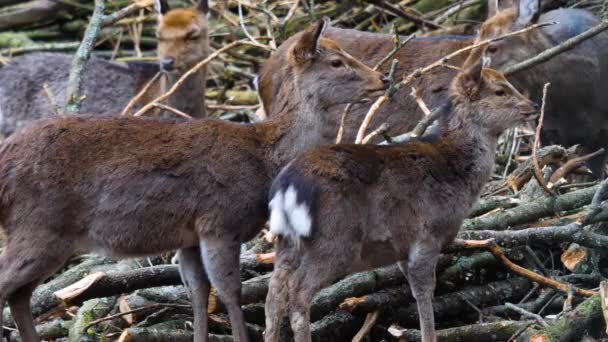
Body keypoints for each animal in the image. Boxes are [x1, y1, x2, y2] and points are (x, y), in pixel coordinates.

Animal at [0, 20, 388, 342]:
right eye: (337, 62)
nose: (383, 79)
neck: (264, 159)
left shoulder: (187, 236)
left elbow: (199, 294)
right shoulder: (220, 221)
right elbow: (230, 291)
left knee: (20, 294)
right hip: (40, 225)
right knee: (10, 286)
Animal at [264, 58, 536, 342]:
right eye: (500, 91)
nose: (533, 106)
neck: (456, 173)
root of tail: (286, 188)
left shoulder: (400, 246)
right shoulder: (426, 232)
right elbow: (424, 291)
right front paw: (428, 335)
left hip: (286, 240)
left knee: (274, 294)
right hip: (335, 239)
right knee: (298, 292)